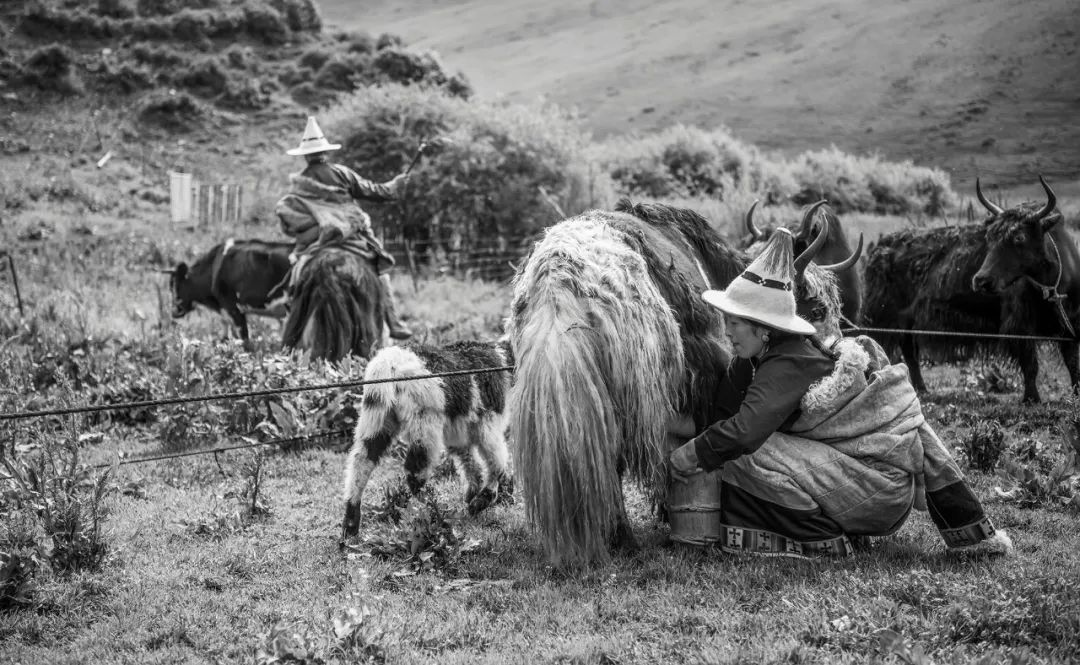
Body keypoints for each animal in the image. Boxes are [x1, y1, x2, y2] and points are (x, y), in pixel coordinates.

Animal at [165, 238, 293, 343]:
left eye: (176, 285)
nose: (173, 311)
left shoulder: (233, 308)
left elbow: (244, 339)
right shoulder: (226, 313)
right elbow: (225, 338)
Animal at [343, 336, 516, 539]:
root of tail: (389, 363)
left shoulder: (458, 433)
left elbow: (470, 463)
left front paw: (473, 498)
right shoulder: (488, 422)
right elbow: (497, 461)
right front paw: (482, 500)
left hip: (377, 415)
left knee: (361, 461)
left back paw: (350, 527)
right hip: (424, 421)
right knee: (415, 470)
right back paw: (434, 508)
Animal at [855, 177, 1075, 401]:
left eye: (1019, 237)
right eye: (990, 237)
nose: (980, 280)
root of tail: (882, 246)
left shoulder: (1069, 325)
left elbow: (1072, 362)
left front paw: (1075, 393)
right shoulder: (1019, 325)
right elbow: (1030, 364)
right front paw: (1031, 399)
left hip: (906, 321)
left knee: (909, 350)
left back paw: (921, 389)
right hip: (884, 316)